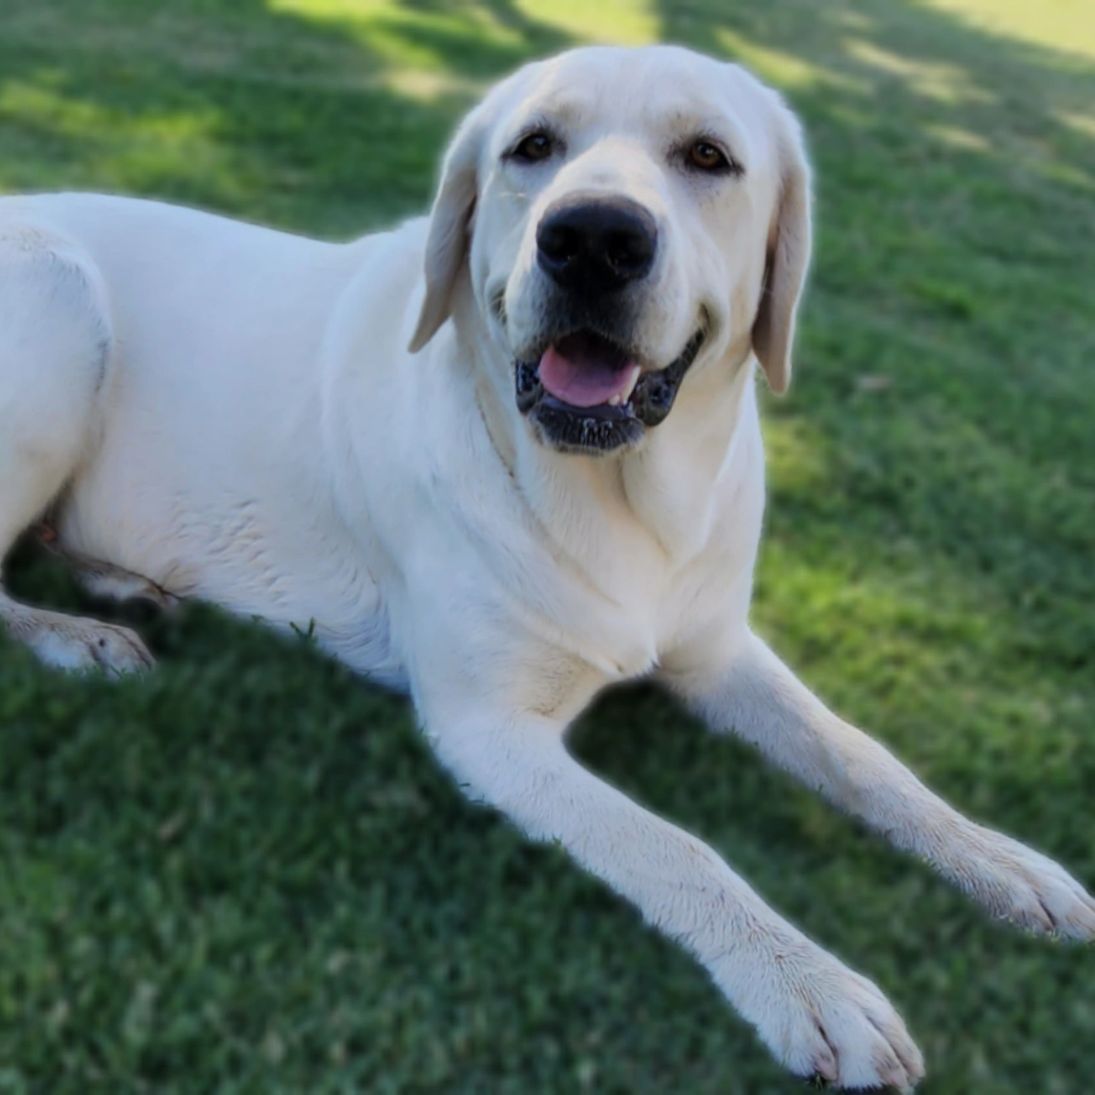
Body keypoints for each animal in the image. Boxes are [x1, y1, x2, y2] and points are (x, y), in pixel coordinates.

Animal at [1, 44, 1091, 1089]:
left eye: (708, 156)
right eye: (532, 147)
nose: (593, 237)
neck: (619, 496)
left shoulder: (714, 649)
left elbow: (862, 755)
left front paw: (1001, 863)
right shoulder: (487, 729)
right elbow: (674, 844)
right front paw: (808, 984)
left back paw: (116, 581)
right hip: (63, 304)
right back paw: (78, 635)